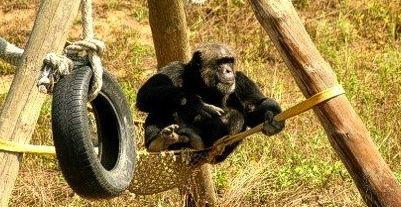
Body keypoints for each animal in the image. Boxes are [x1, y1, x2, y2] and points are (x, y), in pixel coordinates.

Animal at [136, 42, 282, 162]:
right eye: (221, 62)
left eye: (229, 61)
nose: (228, 70)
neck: (205, 85)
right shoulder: (174, 68)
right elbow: (146, 93)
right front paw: (195, 103)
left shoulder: (241, 81)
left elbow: (254, 106)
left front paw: (272, 117)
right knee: (164, 104)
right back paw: (159, 141)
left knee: (236, 115)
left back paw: (200, 142)